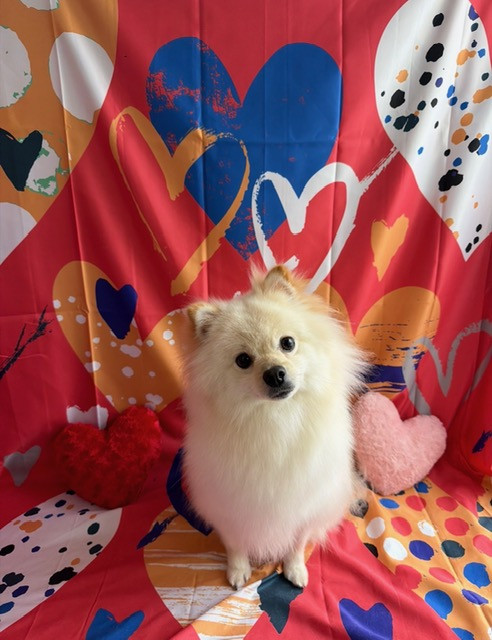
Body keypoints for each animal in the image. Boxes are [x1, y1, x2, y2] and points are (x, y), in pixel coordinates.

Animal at [182, 265, 367, 589]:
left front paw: (295, 569)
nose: (275, 373)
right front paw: (238, 570)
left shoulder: (305, 504)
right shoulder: (228, 504)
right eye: (243, 360)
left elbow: (297, 542)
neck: (276, 419)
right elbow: (235, 544)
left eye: (287, 343)